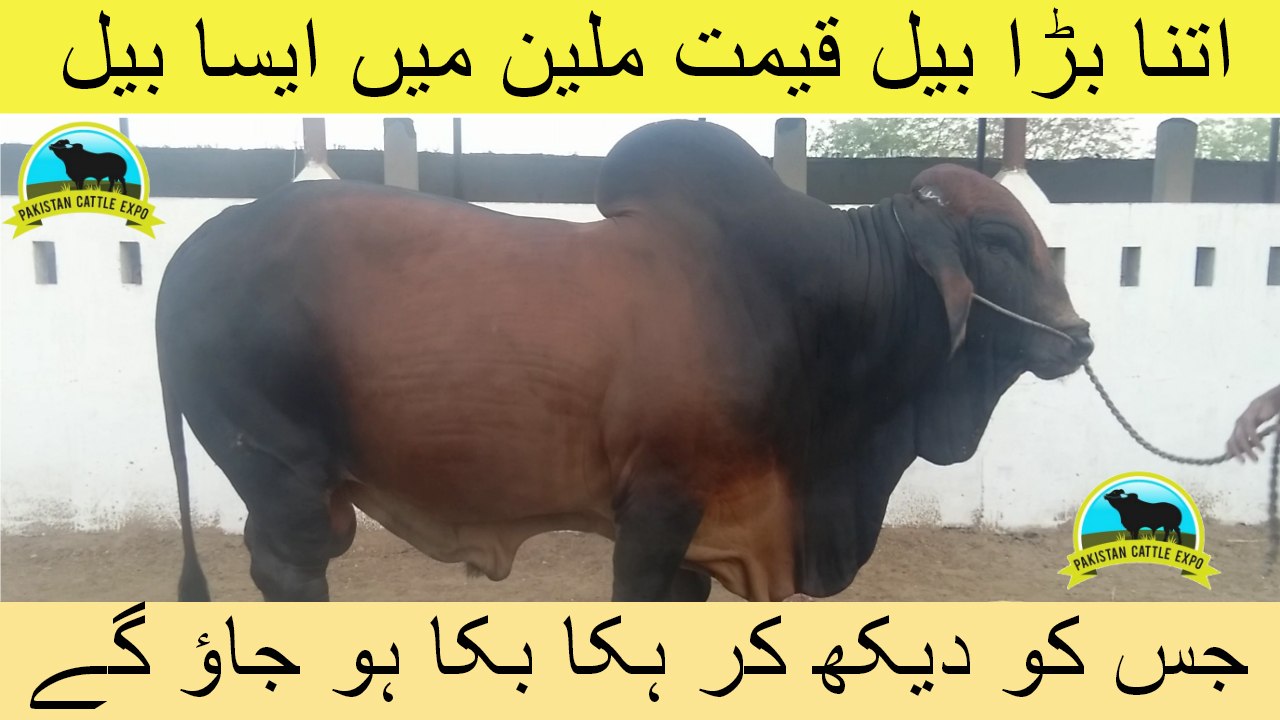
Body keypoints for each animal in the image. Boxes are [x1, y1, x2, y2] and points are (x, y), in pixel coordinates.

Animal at [156, 120, 1093, 602]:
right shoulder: (657, 511)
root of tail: (195, 248)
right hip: (281, 470)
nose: (1079, 336)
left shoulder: (708, 536)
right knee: (288, 568)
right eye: (999, 239)